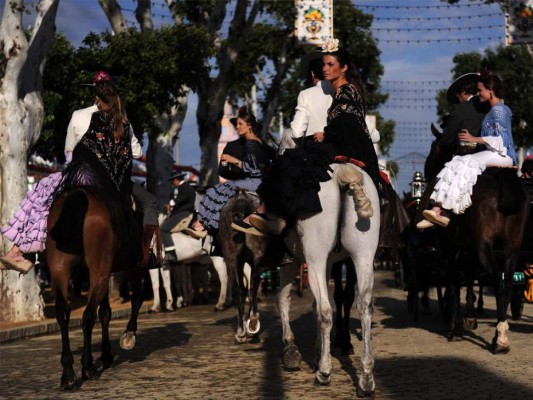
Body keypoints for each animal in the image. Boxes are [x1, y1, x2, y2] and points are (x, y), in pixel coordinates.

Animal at [46, 188, 143, 390]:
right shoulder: (133, 264)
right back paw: (87, 366)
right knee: (88, 316)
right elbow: (136, 297)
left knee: (63, 313)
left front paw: (106, 354)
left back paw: (68, 373)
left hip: (60, 267)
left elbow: (105, 311)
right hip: (102, 269)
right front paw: (128, 335)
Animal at [274, 131, 378, 396]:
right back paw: (366, 377)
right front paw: (318, 350)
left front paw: (292, 349)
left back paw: (324, 372)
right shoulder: (330, 263)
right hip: (363, 254)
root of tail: (343, 172)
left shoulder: (292, 262)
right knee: (364, 305)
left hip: (316, 256)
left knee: (325, 309)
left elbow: (284, 299)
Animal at [420, 127, 528, 350]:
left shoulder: (449, 248)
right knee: (507, 281)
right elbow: (468, 277)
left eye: (433, 149)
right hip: (511, 247)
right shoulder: (467, 249)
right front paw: (468, 318)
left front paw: (454, 326)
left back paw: (499, 338)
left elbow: (453, 282)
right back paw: (500, 332)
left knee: (496, 278)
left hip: (484, 246)